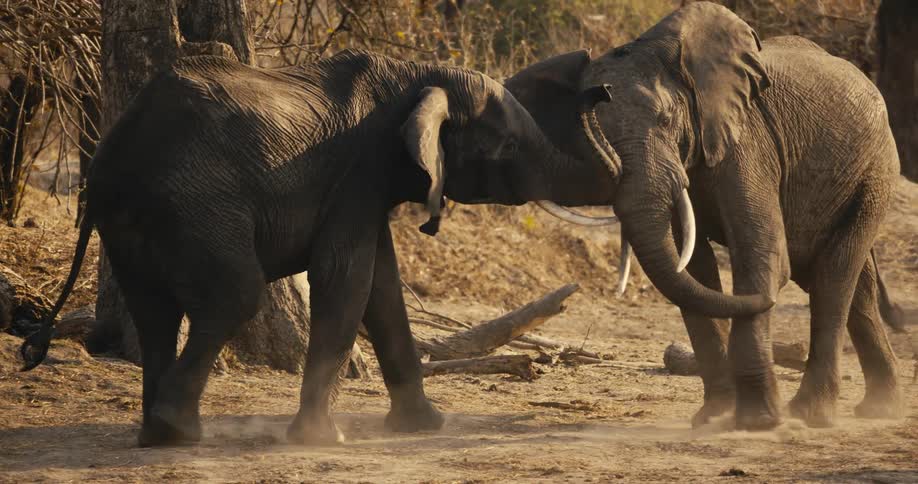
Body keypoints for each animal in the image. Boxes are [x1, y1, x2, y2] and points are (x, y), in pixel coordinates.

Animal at [504, 2, 904, 430]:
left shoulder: (748, 140)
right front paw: (715, 417)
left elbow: (759, 252)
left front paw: (759, 422)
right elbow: (693, 269)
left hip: (875, 172)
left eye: (666, 119)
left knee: (832, 279)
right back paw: (879, 408)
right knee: (853, 286)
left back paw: (811, 415)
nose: (598, 93)